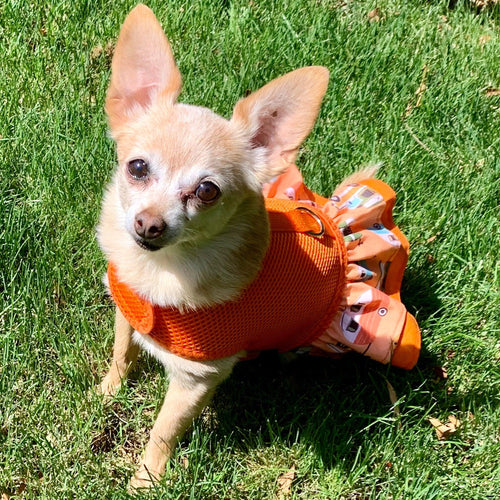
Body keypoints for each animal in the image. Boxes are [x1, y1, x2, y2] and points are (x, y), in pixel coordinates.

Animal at [96, 1, 418, 490]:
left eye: (207, 190)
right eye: (137, 168)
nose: (149, 225)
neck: (162, 270)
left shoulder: (196, 378)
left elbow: (163, 430)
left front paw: (147, 478)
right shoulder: (127, 310)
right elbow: (122, 352)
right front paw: (107, 391)